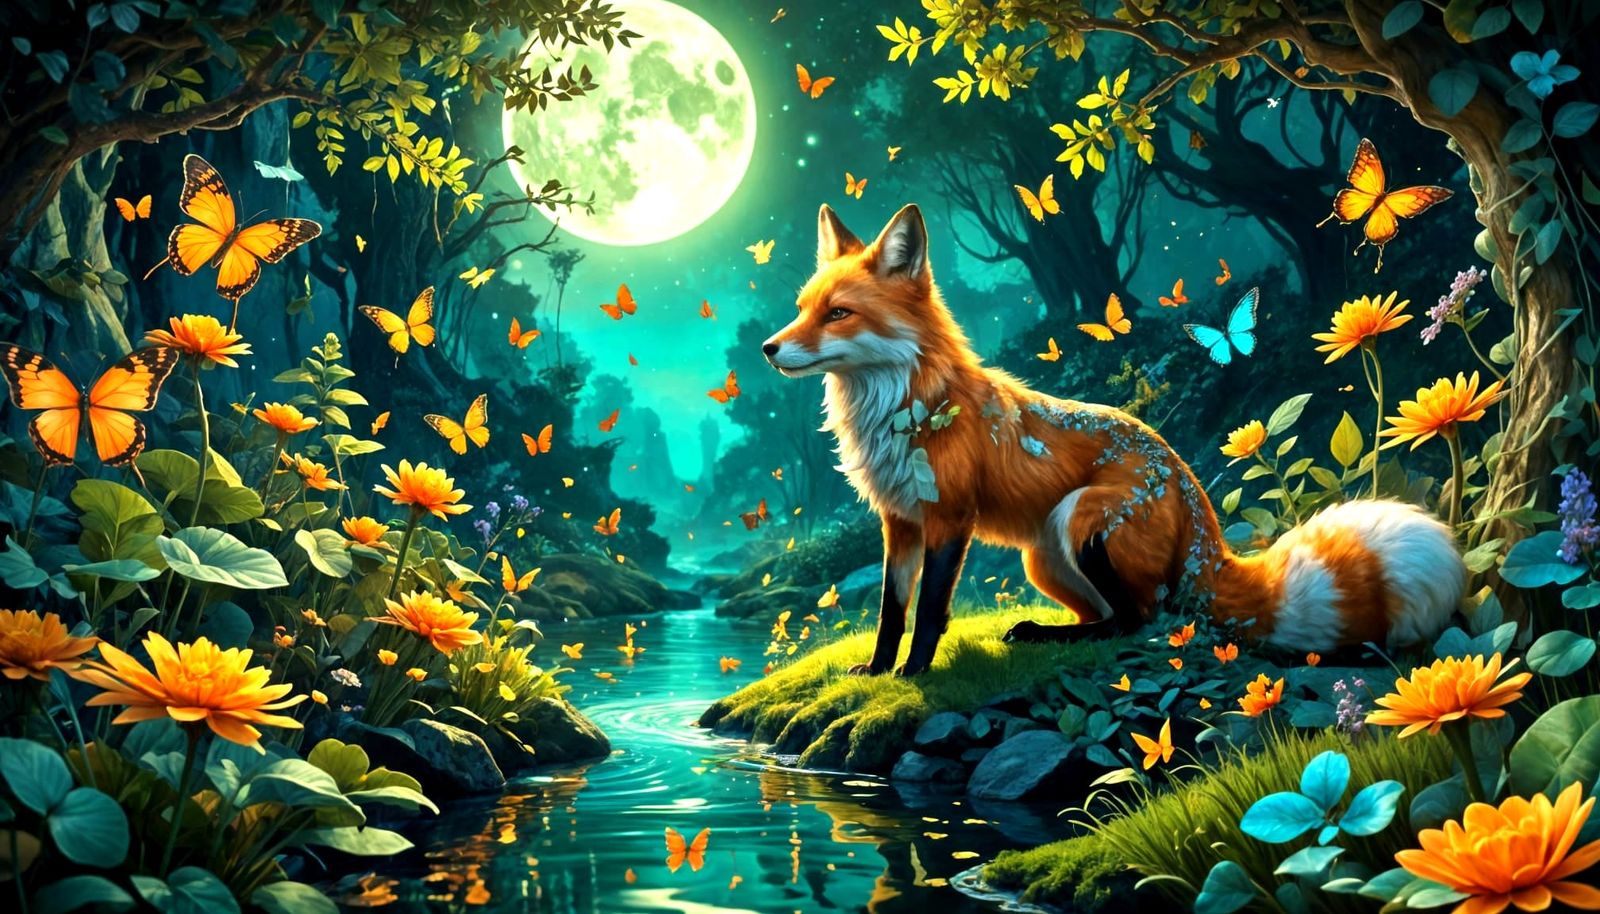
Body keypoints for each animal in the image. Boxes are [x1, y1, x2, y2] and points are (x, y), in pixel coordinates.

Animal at [761, 203, 1464, 677]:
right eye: (800, 309)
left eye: (838, 314)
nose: (768, 348)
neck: (907, 411)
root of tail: (1190, 485)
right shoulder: (899, 522)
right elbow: (890, 610)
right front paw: (880, 670)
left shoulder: (949, 518)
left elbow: (929, 610)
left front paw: (914, 674)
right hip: (1042, 557)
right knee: (1115, 618)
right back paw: (1040, 633)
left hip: (1083, 522)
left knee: (1139, 621)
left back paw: (1049, 636)